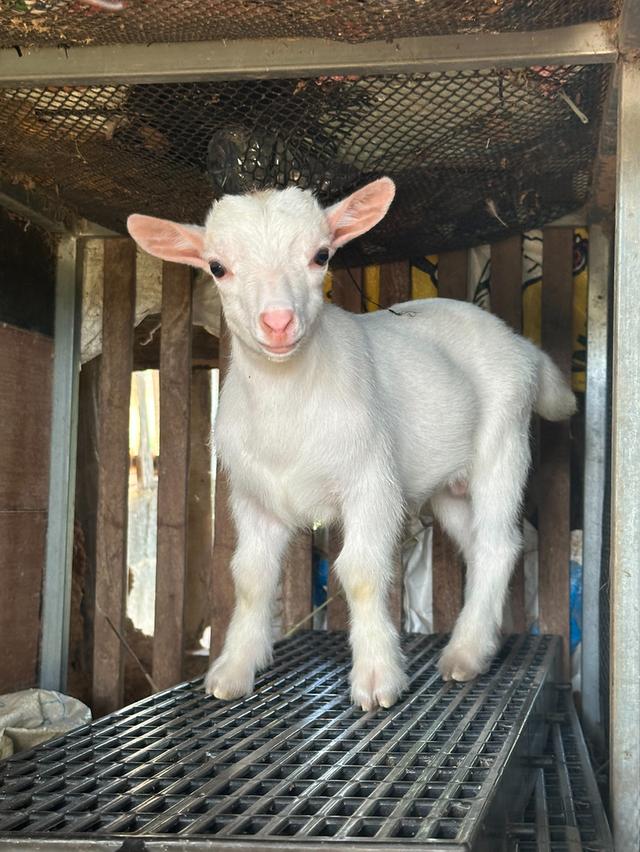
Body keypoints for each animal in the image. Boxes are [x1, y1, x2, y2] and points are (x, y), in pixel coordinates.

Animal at [127, 178, 576, 711]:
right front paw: (233, 670)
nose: (278, 322)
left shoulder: (372, 482)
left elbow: (361, 573)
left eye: (321, 255)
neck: (288, 407)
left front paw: (377, 677)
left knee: (497, 541)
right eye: (217, 266)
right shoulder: (253, 499)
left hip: (503, 446)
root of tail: (522, 347)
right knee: (483, 546)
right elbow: (250, 578)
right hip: (448, 486)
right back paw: (481, 641)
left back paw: (464, 653)